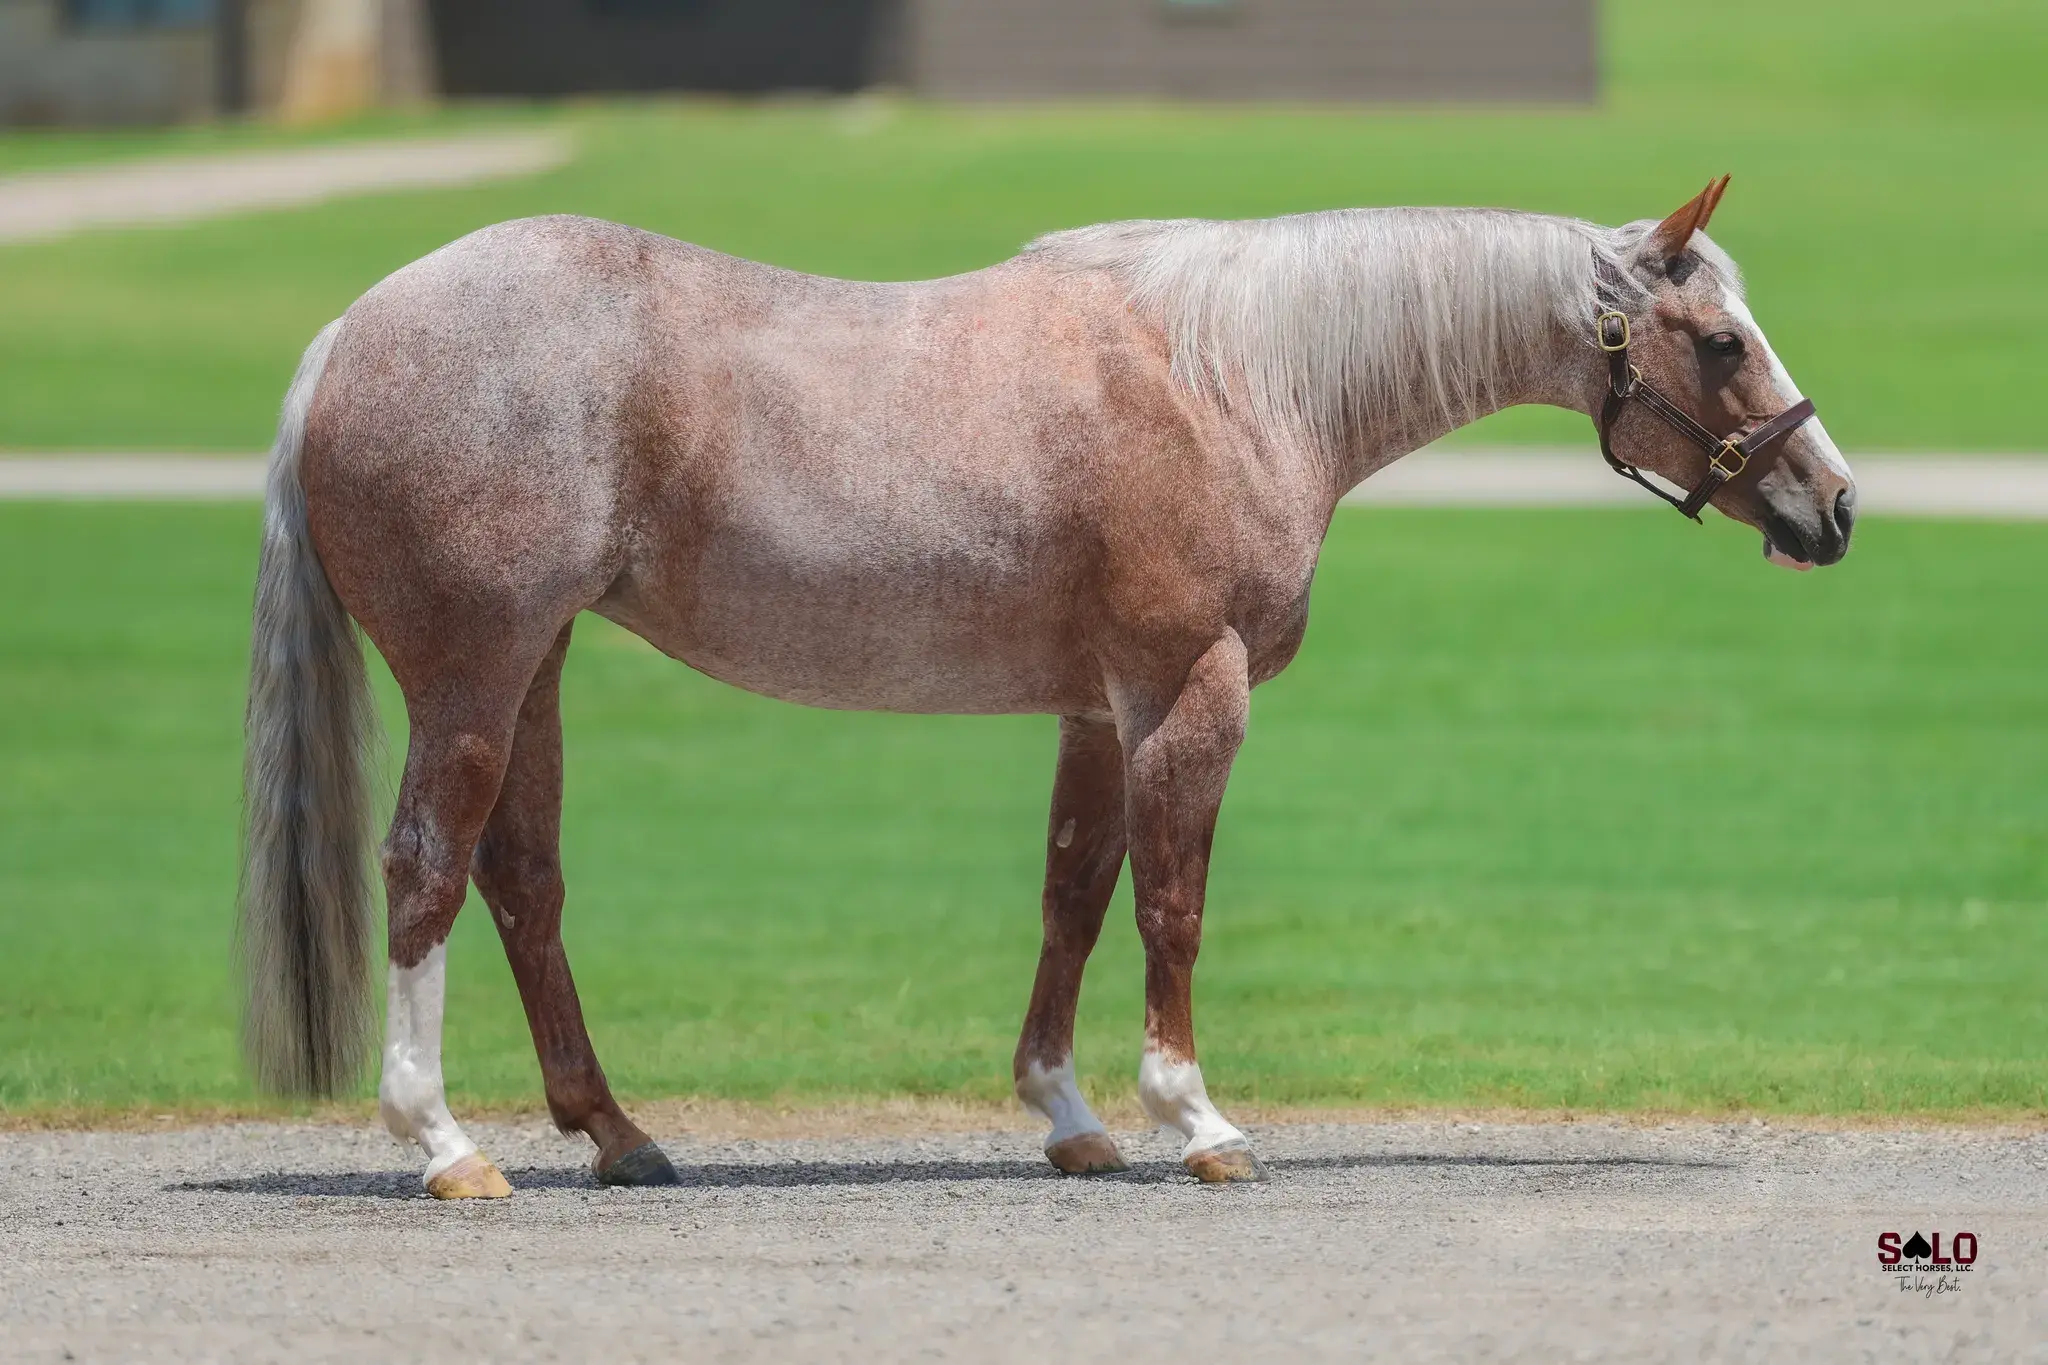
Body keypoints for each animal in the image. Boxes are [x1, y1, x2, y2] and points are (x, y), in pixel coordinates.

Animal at [238, 177, 1855, 1197]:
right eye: (1721, 341)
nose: (1832, 506)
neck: (1232, 376)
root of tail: (348, 337)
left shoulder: (1098, 706)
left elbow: (1074, 894)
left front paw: (1069, 1116)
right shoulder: (1189, 692)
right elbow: (1171, 904)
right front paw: (1195, 1118)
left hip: (538, 668)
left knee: (524, 882)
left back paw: (617, 1134)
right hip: (474, 670)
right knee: (428, 870)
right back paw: (447, 1147)